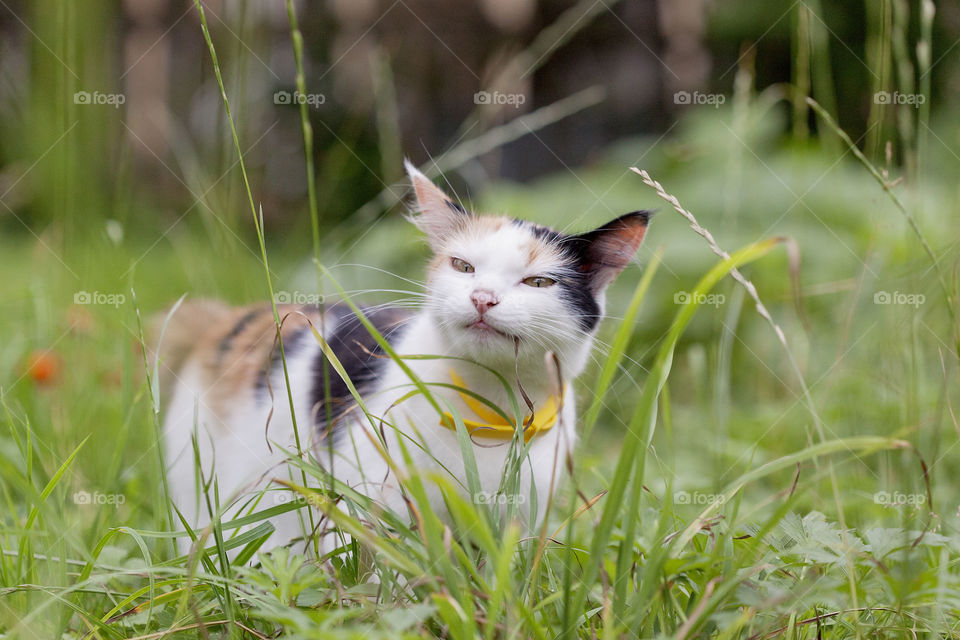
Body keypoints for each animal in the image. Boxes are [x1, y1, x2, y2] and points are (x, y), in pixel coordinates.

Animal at [156, 162, 652, 556]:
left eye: (538, 282)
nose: (482, 297)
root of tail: (228, 319)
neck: (490, 411)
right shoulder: (366, 493)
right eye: (463, 267)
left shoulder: (522, 518)